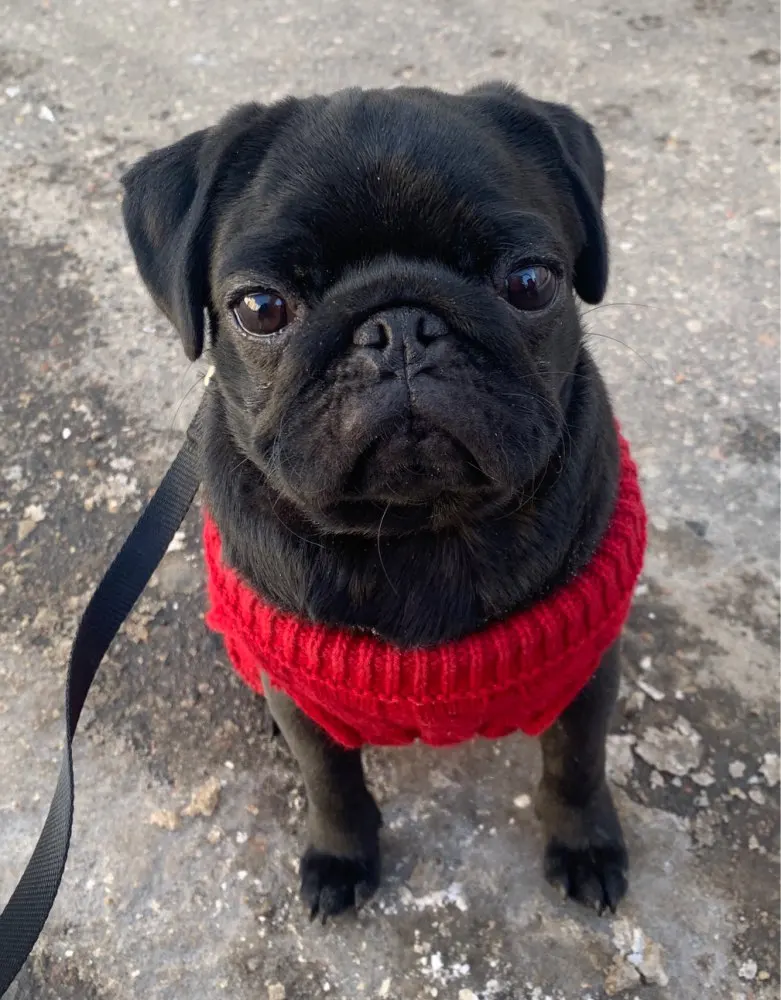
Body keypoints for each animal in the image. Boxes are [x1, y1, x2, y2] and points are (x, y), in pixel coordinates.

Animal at [120, 82, 646, 922]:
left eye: (531, 283)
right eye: (260, 307)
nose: (399, 326)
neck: (416, 529)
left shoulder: (585, 671)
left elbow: (575, 768)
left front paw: (585, 846)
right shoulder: (305, 700)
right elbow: (332, 786)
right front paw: (340, 857)